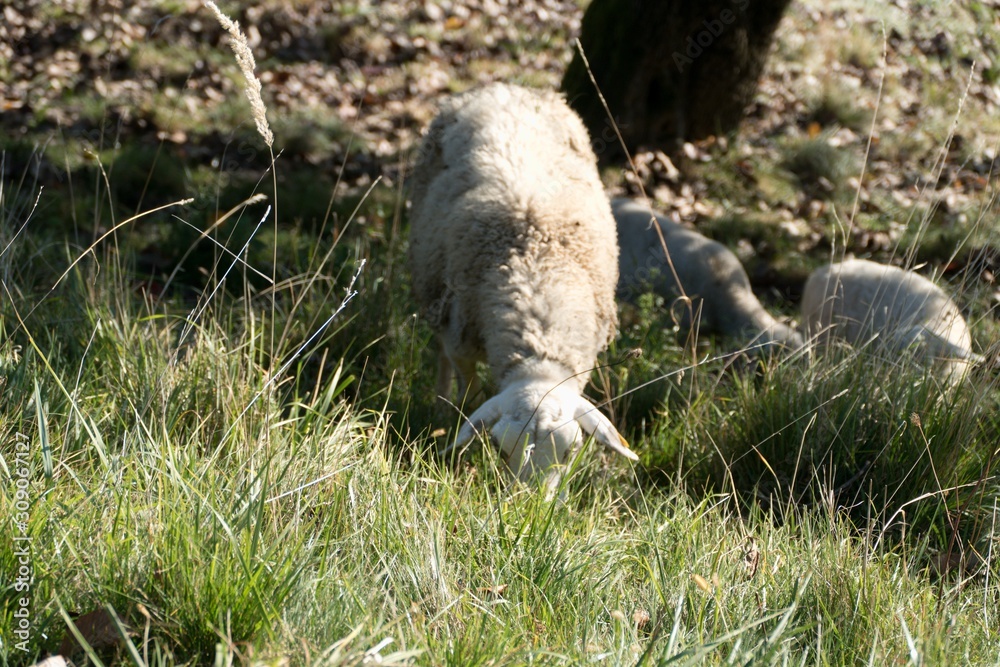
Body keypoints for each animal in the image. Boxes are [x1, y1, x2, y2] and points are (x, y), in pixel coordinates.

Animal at [408, 82, 637, 491]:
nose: (532, 502)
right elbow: (468, 394)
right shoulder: (461, 341)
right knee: (441, 355)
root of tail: (502, 87)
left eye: (571, 451)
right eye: (501, 450)